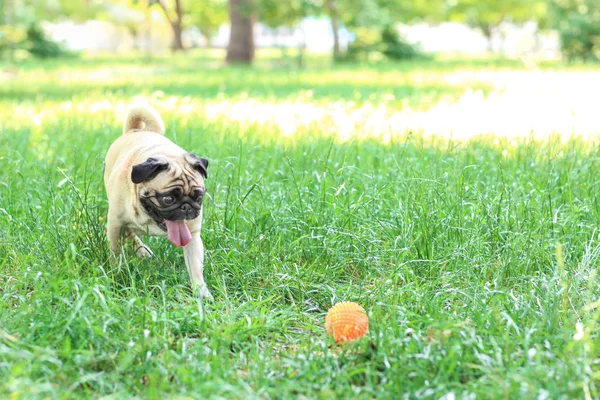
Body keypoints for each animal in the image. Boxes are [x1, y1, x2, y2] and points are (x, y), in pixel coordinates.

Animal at [104, 103, 212, 296]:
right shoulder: (115, 224)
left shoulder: (191, 234)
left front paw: (201, 292)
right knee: (130, 234)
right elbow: (115, 253)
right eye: (168, 199)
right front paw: (116, 275)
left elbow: (195, 266)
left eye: (199, 197)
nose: (187, 207)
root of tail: (135, 130)